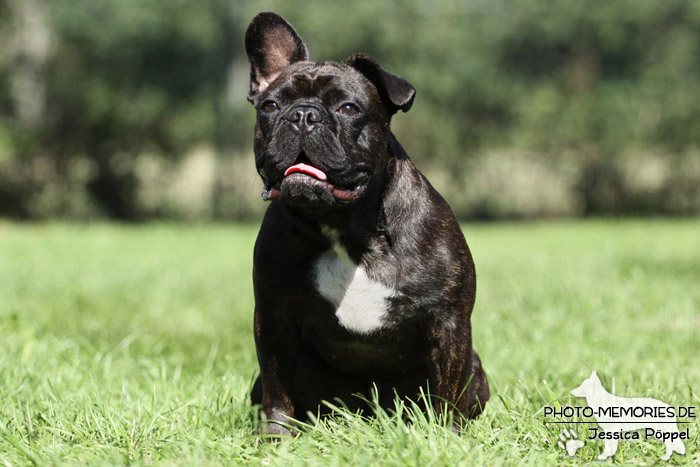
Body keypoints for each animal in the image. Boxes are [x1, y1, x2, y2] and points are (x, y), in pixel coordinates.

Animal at [247, 11, 492, 438]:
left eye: (348, 108)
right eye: (271, 105)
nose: (303, 116)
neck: (343, 228)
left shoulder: (448, 323)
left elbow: (447, 390)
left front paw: (448, 437)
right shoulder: (274, 317)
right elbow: (278, 389)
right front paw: (276, 439)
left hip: (474, 370)